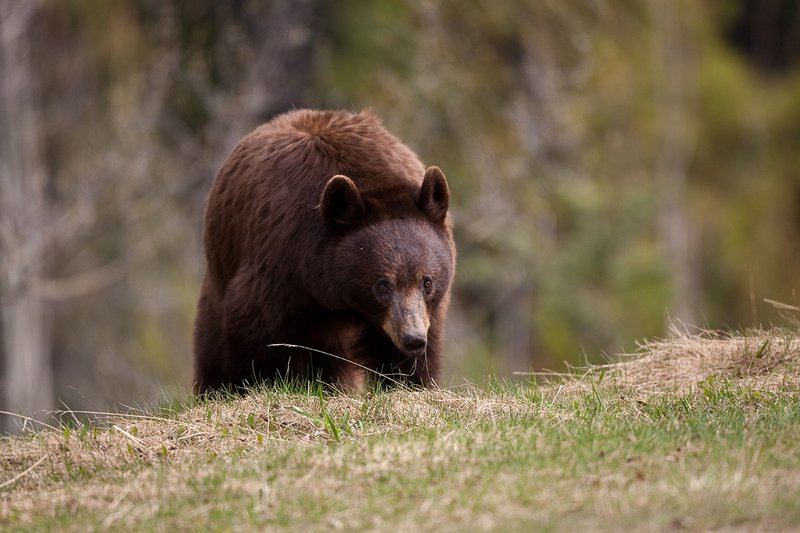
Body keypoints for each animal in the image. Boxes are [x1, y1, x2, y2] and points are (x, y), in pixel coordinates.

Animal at [192, 109, 456, 393]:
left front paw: (409, 380)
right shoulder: (278, 265)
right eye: (382, 284)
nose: (413, 339)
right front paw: (262, 383)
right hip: (219, 273)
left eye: (427, 281)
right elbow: (258, 329)